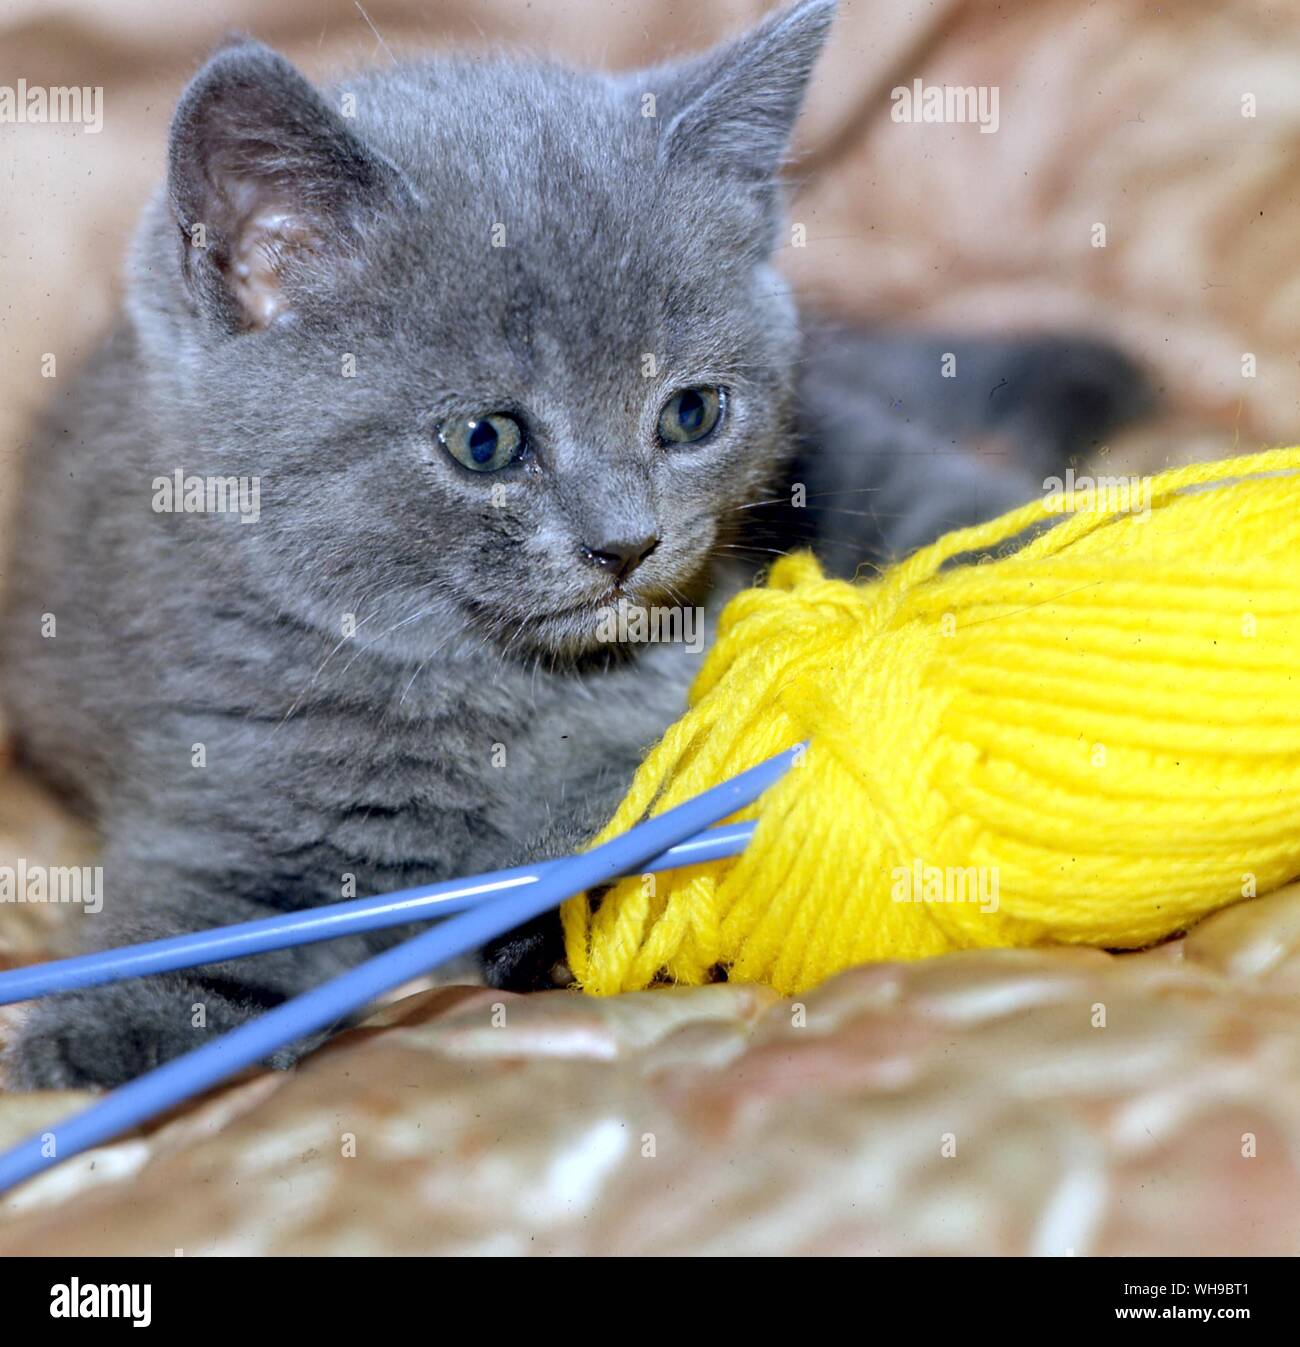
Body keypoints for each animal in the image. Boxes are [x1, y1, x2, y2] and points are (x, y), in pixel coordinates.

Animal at [0, 0, 1136, 1088]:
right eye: (485, 441)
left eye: (690, 414)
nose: (626, 543)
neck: (496, 692)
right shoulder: (219, 772)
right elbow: (199, 908)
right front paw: (104, 1031)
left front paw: (563, 908)